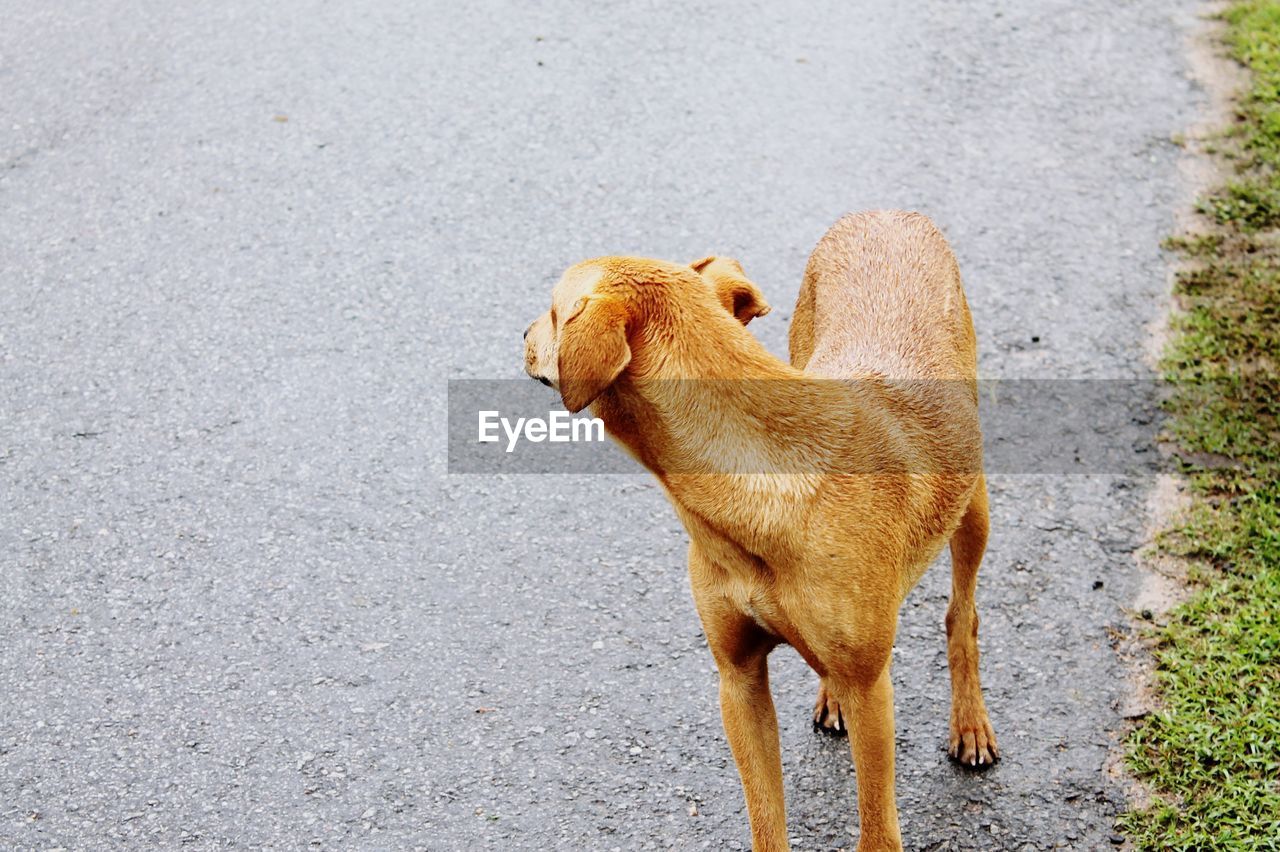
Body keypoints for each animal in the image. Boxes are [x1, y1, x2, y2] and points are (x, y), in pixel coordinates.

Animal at [522, 208, 998, 844]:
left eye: (553, 312)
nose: (522, 337)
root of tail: (884, 212)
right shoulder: (739, 680)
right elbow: (766, 820)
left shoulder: (873, 691)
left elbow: (876, 829)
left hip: (973, 509)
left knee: (961, 616)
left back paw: (969, 722)